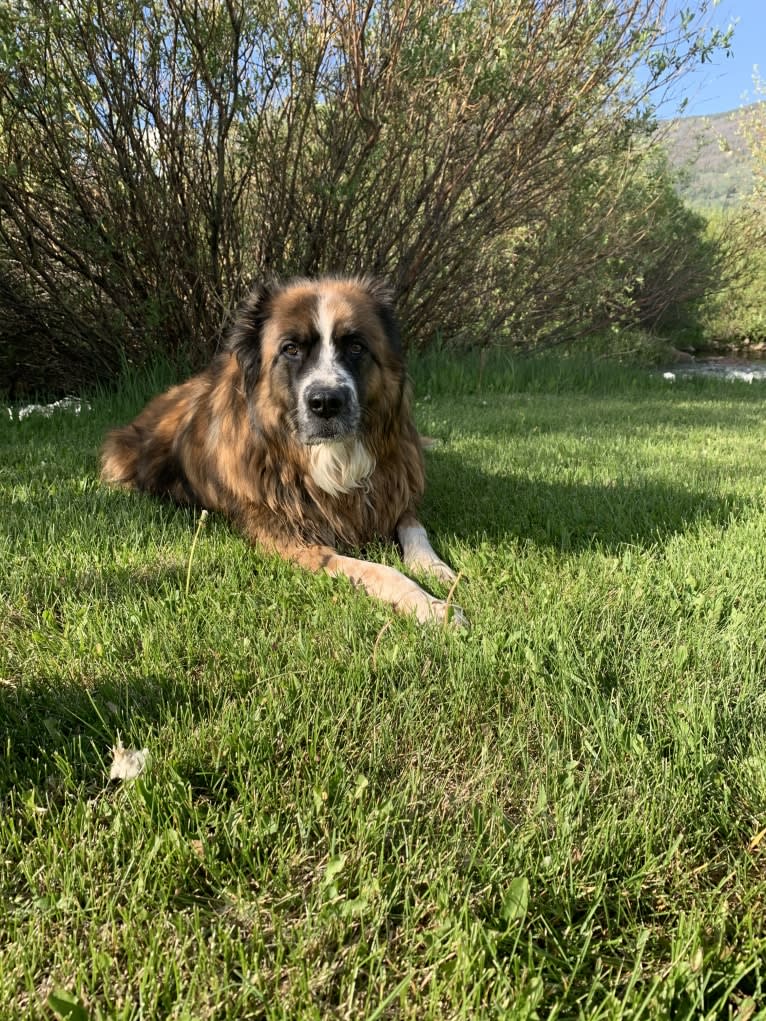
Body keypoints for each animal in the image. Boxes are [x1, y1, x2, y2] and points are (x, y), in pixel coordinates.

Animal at [99, 277, 465, 620]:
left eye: (356, 347)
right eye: (290, 349)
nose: (326, 403)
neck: (331, 458)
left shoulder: (393, 490)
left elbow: (416, 531)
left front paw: (438, 571)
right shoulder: (293, 541)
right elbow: (379, 570)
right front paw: (431, 606)